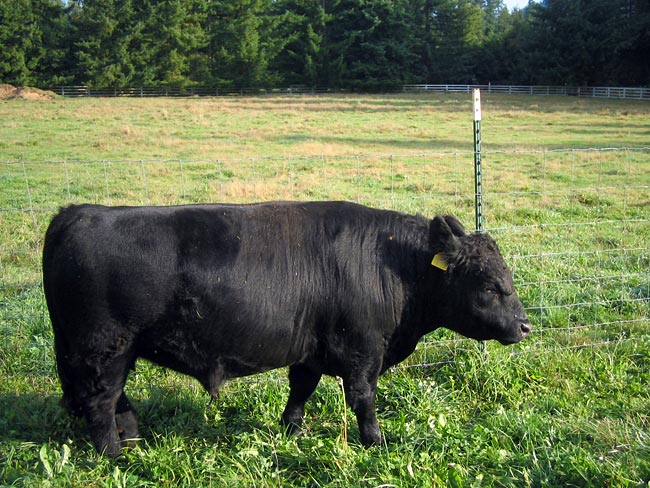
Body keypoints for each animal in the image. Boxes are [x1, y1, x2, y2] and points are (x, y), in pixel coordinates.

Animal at [40, 200, 528, 456]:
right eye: (490, 286)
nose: (524, 326)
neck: (391, 262)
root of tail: (78, 212)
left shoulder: (312, 348)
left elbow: (301, 388)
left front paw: (292, 430)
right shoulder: (362, 350)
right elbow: (363, 399)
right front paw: (375, 441)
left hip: (105, 350)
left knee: (111, 400)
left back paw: (132, 438)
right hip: (105, 347)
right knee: (100, 402)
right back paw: (115, 455)